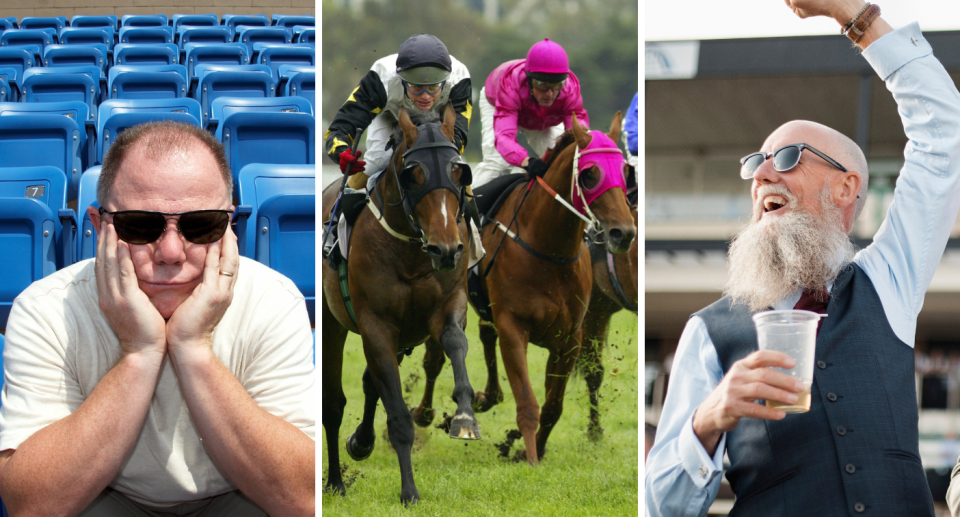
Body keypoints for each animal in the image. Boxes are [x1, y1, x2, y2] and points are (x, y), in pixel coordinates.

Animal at [322, 105, 484, 504]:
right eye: (415, 173)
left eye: (459, 170)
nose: (446, 249)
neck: (411, 249)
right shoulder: (376, 324)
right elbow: (396, 414)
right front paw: (409, 490)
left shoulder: (448, 303)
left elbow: (454, 342)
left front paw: (465, 418)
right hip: (333, 324)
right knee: (333, 404)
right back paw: (336, 481)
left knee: (370, 383)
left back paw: (361, 441)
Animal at [414, 113, 632, 464]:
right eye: (590, 174)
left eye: (625, 172)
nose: (623, 233)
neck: (548, 249)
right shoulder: (514, 327)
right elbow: (528, 402)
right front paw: (529, 456)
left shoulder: (570, 337)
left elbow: (553, 405)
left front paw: (533, 449)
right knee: (434, 359)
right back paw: (425, 413)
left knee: (484, 337)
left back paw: (484, 398)